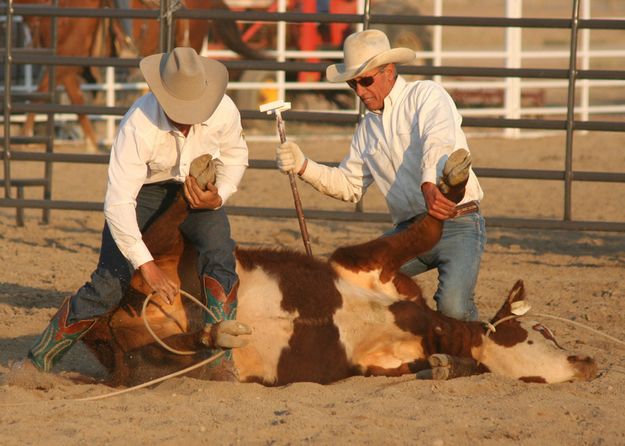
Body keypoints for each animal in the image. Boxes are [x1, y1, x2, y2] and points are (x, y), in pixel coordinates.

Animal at [80, 152, 596, 386]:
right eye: (541, 331)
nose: (588, 360)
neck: (423, 324)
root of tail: (111, 325)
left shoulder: (379, 361)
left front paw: (447, 365)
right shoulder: (366, 261)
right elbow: (425, 230)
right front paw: (451, 182)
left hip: (156, 365)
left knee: (174, 349)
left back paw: (218, 331)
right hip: (159, 259)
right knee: (162, 230)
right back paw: (199, 183)